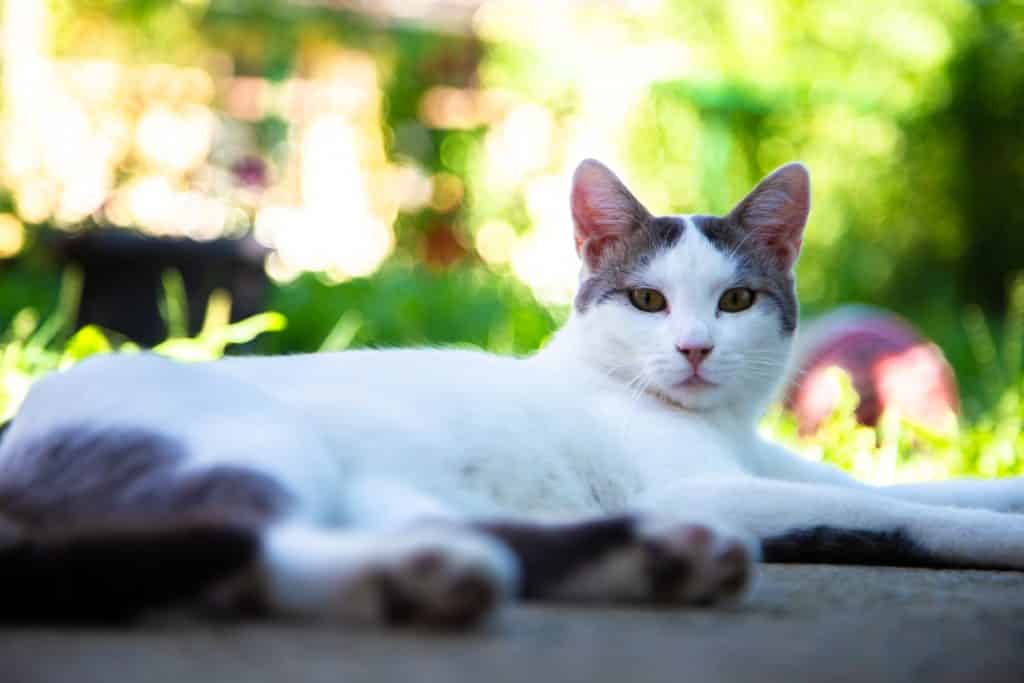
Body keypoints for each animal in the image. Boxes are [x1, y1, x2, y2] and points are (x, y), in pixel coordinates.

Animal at [2, 160, 1024, 630]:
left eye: (736, 301)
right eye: (648, 301)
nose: (695, 349)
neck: (716, 426)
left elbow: (903, 490)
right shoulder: (707, 484)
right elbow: (896, 514)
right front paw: (998, 534)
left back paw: (656, 562)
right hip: (244, 440)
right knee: (245, 547)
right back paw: (423, 579)